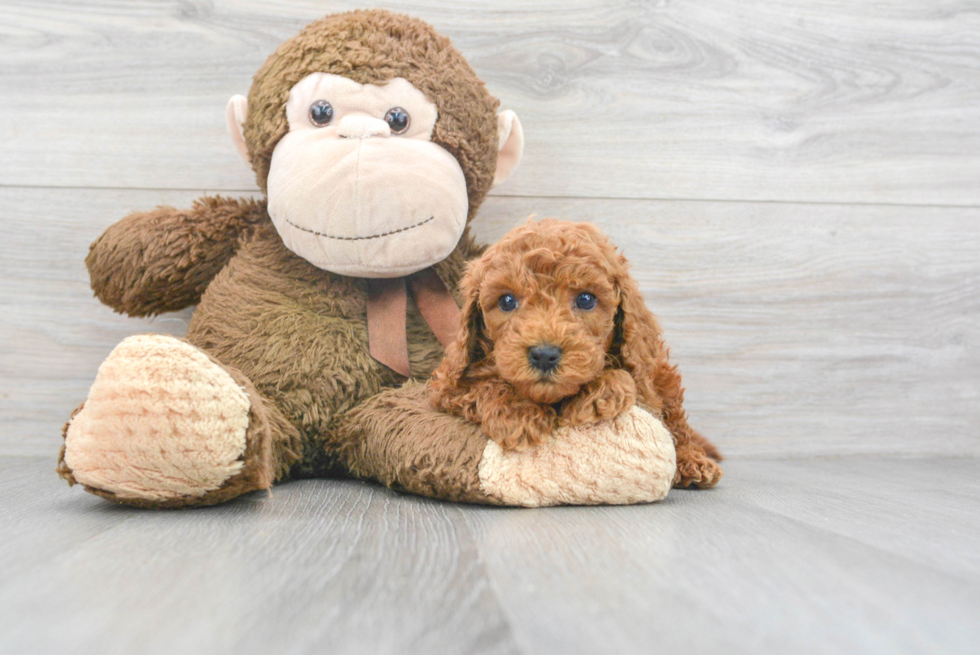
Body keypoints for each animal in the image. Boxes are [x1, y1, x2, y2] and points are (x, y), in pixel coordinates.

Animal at [432, 219, 724, 486]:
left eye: (585, 299)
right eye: (506, 301)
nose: (544, 355)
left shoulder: (645, 384)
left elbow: (626, 378)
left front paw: (598, 394)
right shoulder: (447, 386)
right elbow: (483, 384)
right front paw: (517, 414)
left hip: (664, 376)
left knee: (678, 427)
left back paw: (692, 462)